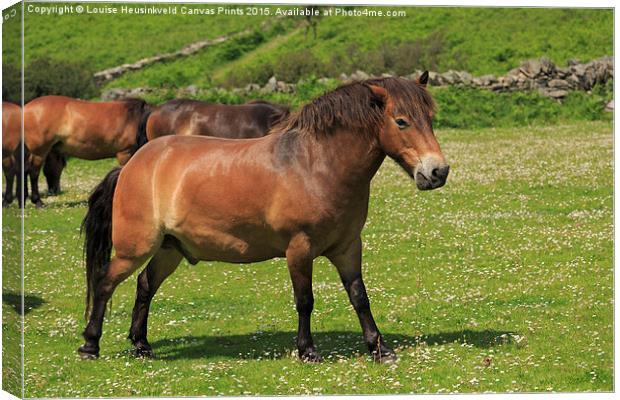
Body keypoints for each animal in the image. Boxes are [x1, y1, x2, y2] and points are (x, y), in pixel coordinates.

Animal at [80, 74, 448, 362]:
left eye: (430, 118)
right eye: (401, 121)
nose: (437, 171)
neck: (315, 164)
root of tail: (133, 165)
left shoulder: (347, 248)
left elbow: (359, 296)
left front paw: (379, 348)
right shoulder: (299, 249)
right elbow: (305, 300)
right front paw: (307, 351)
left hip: (169, 250)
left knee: (144, 286)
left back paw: (141, 345)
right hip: (135, 248)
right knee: (105, 283)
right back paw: (90, 345)